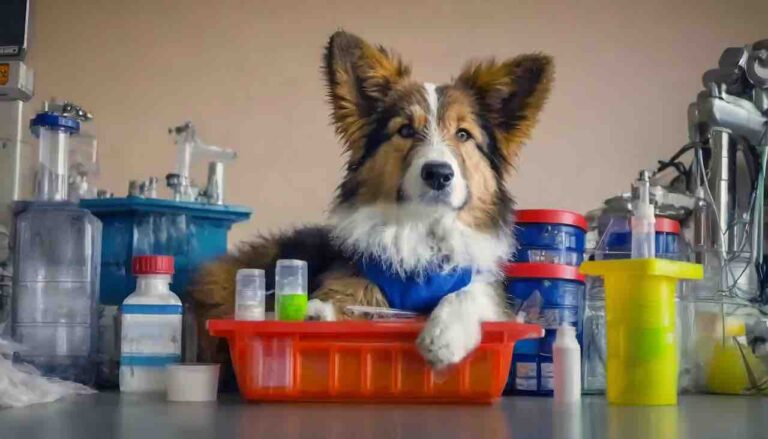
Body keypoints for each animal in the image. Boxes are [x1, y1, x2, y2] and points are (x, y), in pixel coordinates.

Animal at [191, 29, 552, 370]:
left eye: (463, 134)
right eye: (405, 130)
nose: (438, 174)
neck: (422, 229)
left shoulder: (484, 287)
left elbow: (467, 294)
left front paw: (442, 339)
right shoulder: (350, 283)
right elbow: (343, 305)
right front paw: (316, 313)